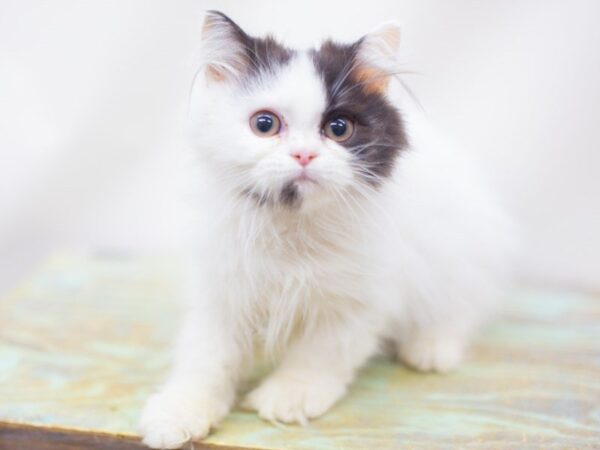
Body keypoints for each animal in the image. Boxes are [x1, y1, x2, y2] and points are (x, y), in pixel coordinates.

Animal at [139, 10, 516, 450]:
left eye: (338, 129)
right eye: (264, 124)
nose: (304, 154)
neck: (294, 227)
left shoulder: (357, 301)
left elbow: (319, 356)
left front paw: (287, 397)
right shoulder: (222, 292)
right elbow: (206, 358)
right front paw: (176, 414)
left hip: (462, 251)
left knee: (460, 307)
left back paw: (431, 349)